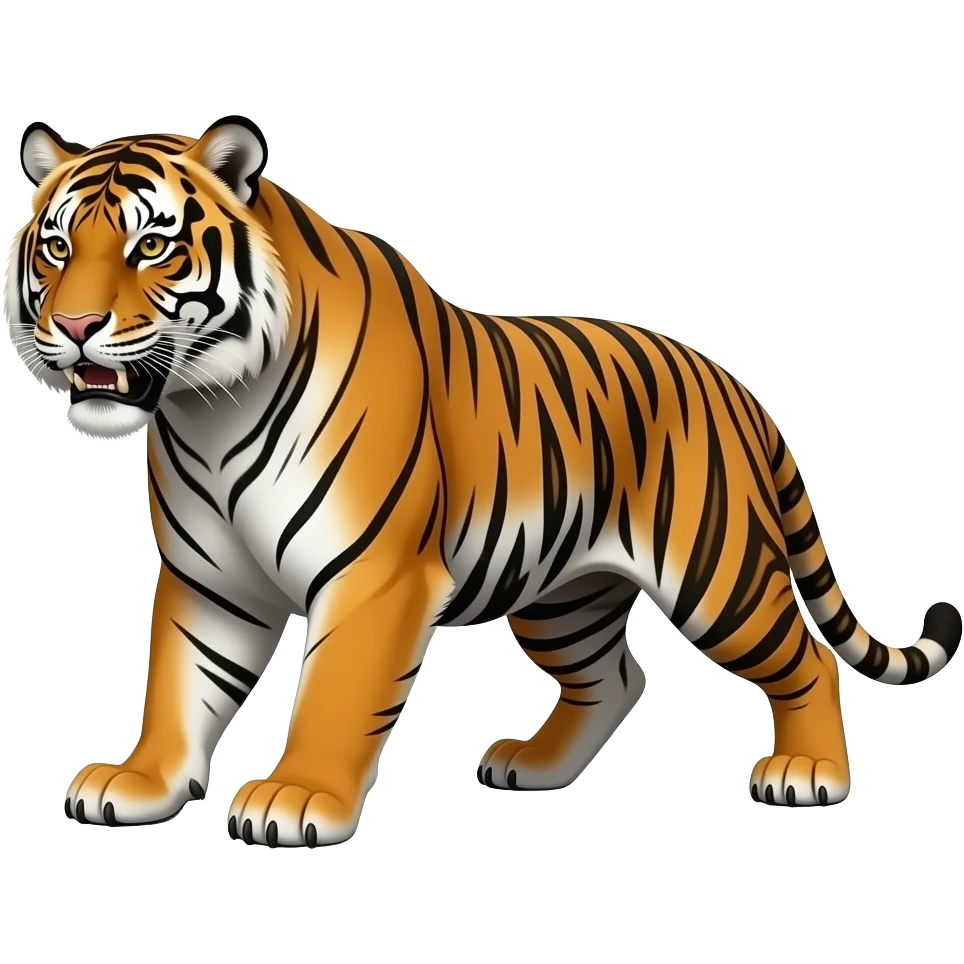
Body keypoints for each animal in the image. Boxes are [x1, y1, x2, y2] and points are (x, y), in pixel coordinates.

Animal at [5, 115, 960, 847]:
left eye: (152, 246)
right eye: (55, 247)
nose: (75, 325)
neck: (208, 408)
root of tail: (736, 388)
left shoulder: (374, 574)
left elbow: (335, 690)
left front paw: (298, 799)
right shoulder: (209, 579)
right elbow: (178, 684)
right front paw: (139, 783)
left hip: (715, 573)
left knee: (804, 658)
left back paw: (809, 772)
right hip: (563, 593)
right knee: (617, 678)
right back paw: (533, 766)